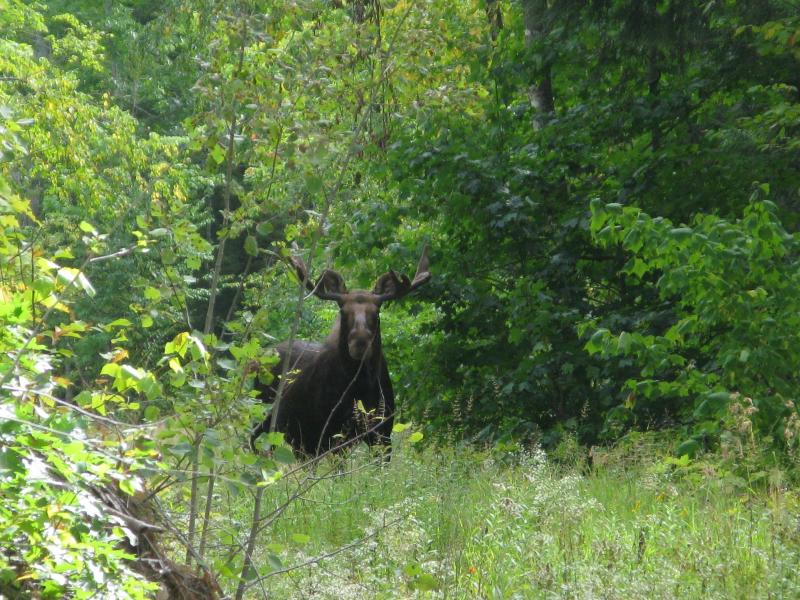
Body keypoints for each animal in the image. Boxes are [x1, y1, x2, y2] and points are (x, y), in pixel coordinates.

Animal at [250, 246, 432, 458]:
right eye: (343, 312)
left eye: (376, 311)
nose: (360, 342)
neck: (361, 388)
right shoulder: (323, 436)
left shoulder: (382, 433)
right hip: (272, 420)